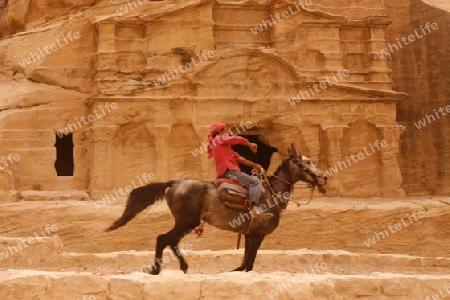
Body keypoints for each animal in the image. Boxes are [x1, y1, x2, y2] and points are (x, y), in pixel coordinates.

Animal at [107, 144, 328, 276]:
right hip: (187, 221)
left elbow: (245, 261)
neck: (271, 194)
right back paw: (157, 270)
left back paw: (183, 267)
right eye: (307, 161)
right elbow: (250, 262)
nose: (324, 177)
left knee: (172, 241)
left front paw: (236, 270)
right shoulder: (258, 234)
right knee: (163, 239)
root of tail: (175, 183)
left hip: (187, 223)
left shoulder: (249, 234)